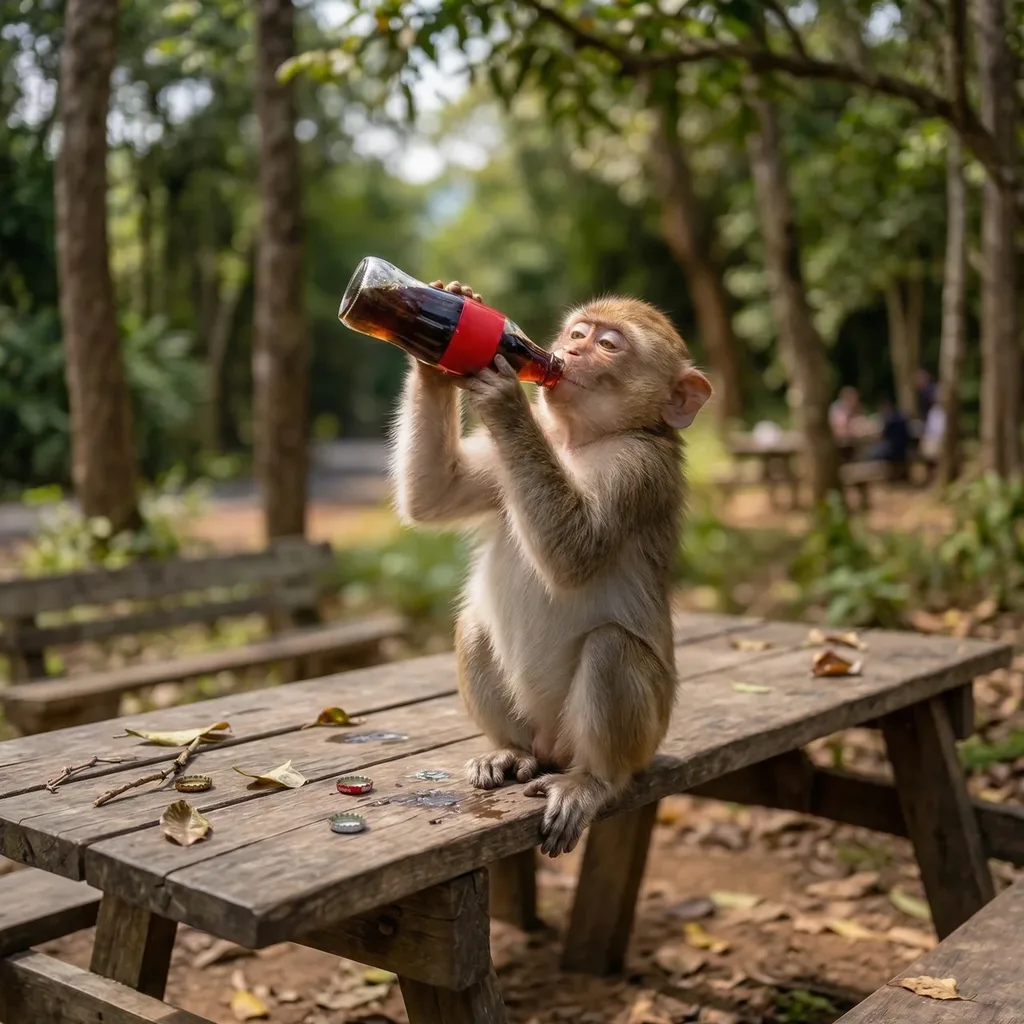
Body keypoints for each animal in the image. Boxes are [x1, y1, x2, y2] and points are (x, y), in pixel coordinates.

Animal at [392, 281, 712, 856]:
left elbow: (576, 552)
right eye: (577, 333)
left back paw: (593, 781)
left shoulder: (639, 468)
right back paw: (511, 751)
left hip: (645, 734)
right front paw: (445, 325)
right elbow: (434, 494)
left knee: (611, 648)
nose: (570, 351)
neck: (575, 441)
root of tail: (554, 749)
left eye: (608, 345)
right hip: (535, 726)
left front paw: (501, 392)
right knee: (474, 626)